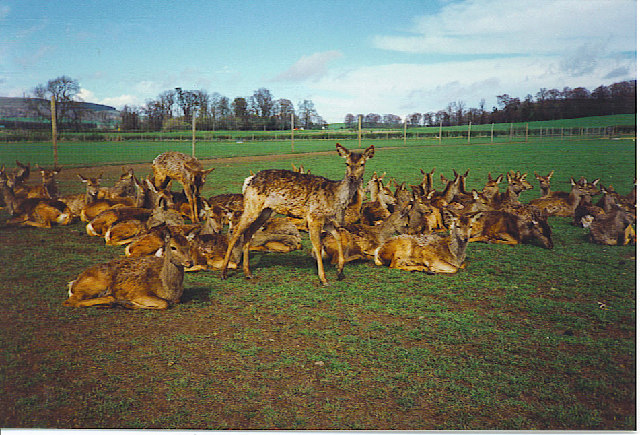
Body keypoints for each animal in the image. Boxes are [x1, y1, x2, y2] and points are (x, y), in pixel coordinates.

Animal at [63, 233, 195, 309]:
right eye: (173, 247)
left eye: (189, 246)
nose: (189, 262)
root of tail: (73, 284)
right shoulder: (139, 292)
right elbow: (164, 304)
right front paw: (129, 303)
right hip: (97, 284)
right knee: (70, 301)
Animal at [220, 143, 375, 285]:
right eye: (347, 163)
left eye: (362, 163)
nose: (352, 177)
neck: (336, 199)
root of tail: (249, 181)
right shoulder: (313, 216)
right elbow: (317, 245)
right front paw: (323, 279)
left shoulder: (328, 221)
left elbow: (338, 236)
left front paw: (340, 271)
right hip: (252, 206)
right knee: (236, 232)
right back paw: (224, 273)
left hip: (266, 211)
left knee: (248, 232)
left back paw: (248, 273)